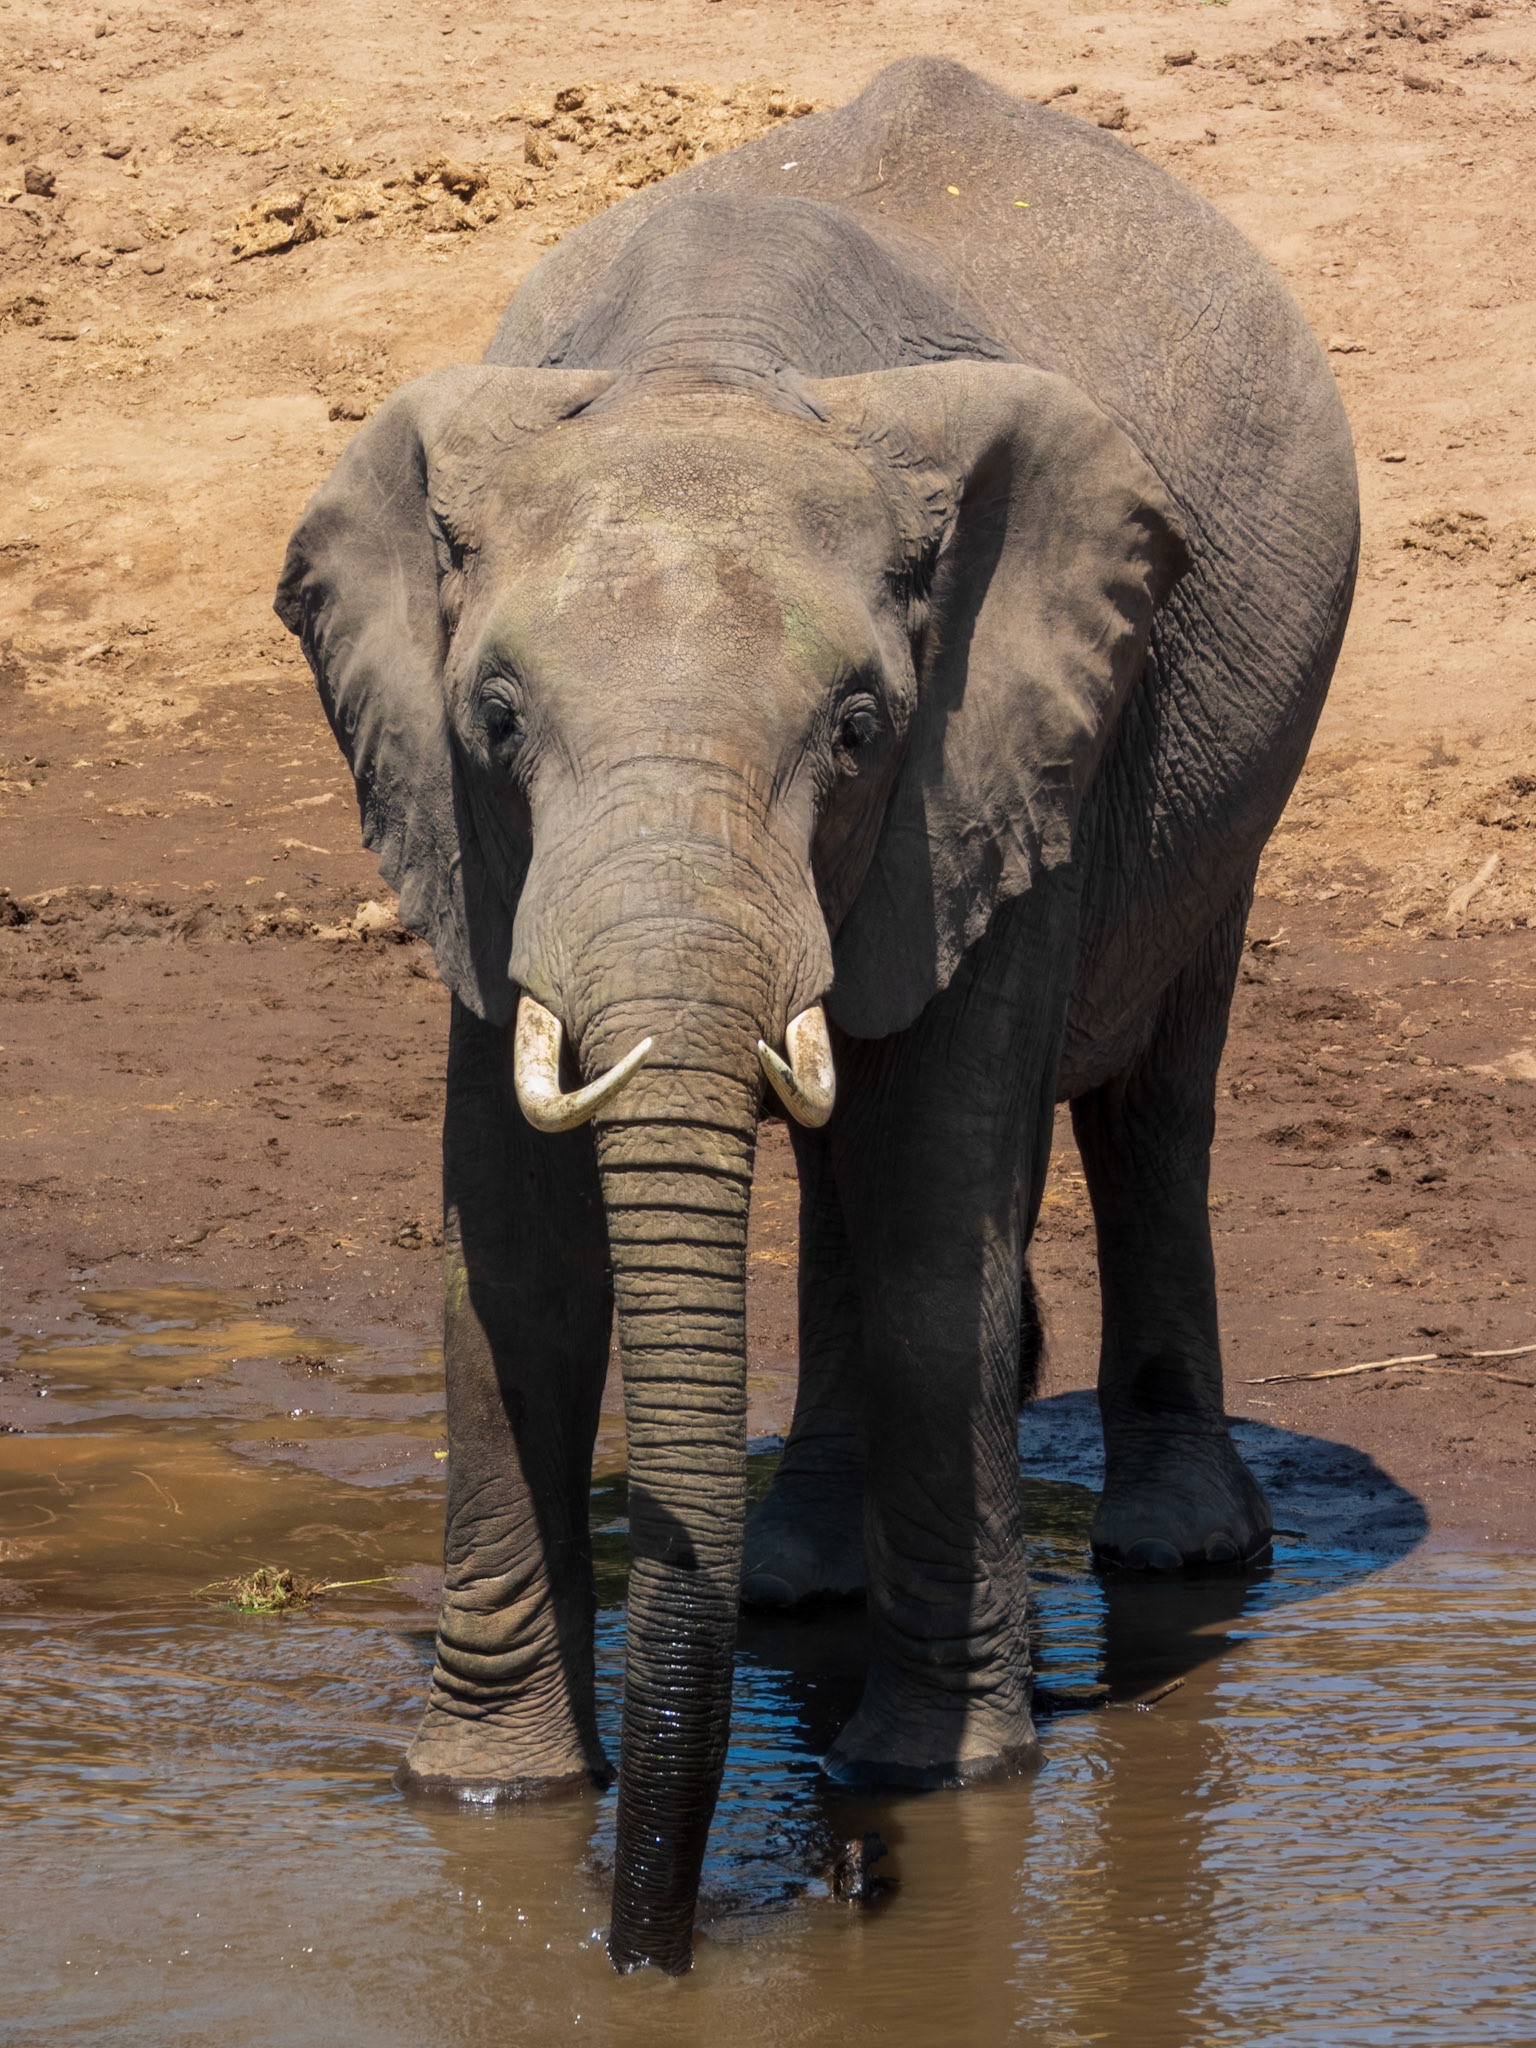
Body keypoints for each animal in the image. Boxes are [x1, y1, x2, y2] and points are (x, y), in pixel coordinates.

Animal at [275, 57, 1357, 1974]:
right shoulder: (470, 842)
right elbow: (515, 1258)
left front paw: (938, 1782)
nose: (652, 1951)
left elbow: (936, 1219)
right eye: (494, 720)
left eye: (857, 731)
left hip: (1234, 776)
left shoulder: (997, 748)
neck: (715, 367)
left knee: (1152, 1102)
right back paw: (794, 1579)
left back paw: (1173, 1550)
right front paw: (490, 1799)